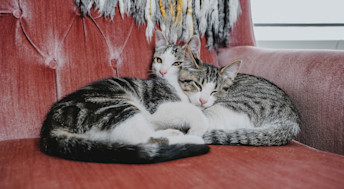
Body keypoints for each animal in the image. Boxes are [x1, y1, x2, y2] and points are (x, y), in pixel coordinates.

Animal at [39, 31, 210, 164]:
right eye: (159, 60)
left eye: (177, 63)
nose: (162, 72)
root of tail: (50, 125)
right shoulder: (156, 106)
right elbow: (191, 110)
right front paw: (198, 128)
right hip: (116, 107)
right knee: (143, 139)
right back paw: (193, 140)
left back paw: (172, 132)